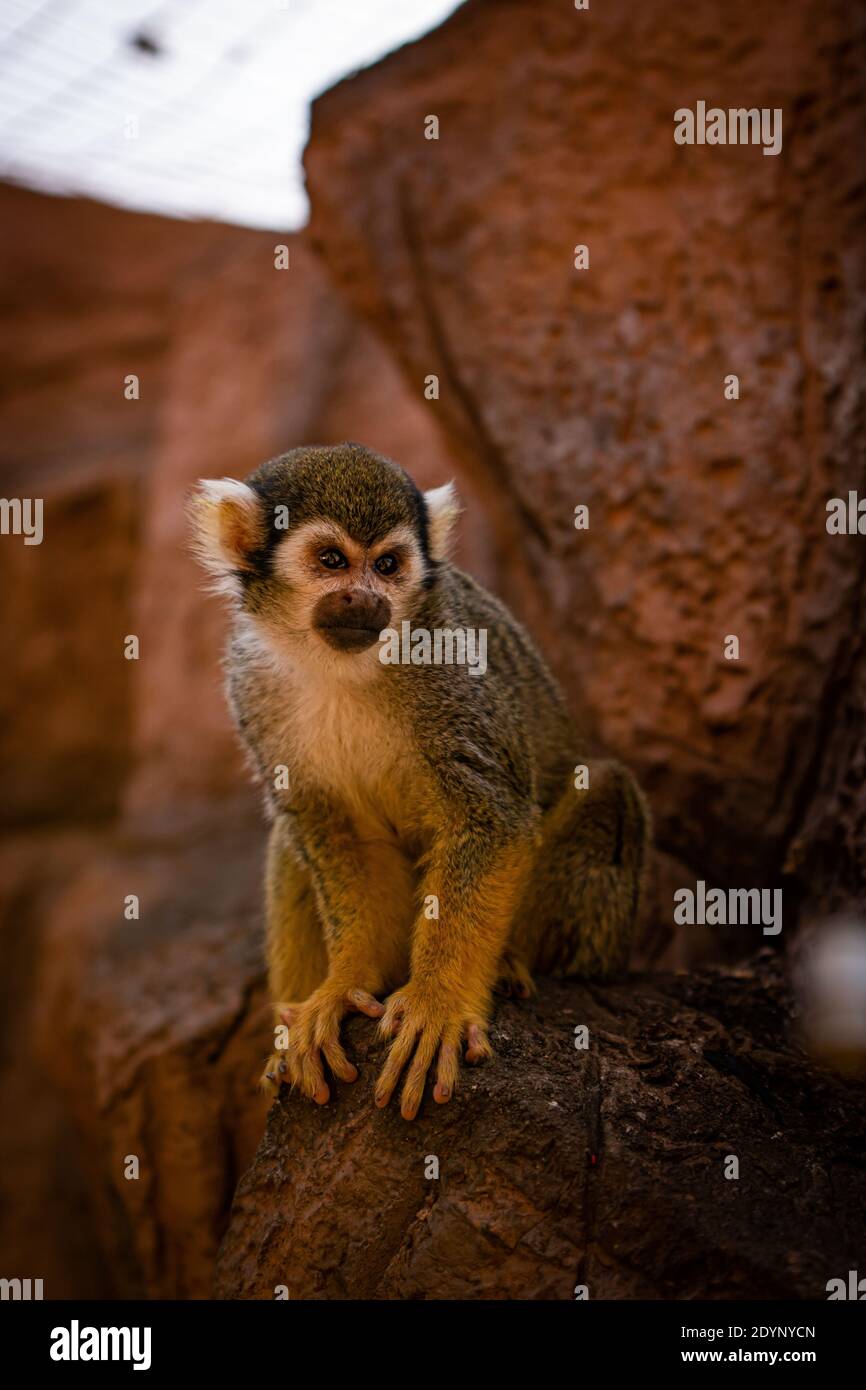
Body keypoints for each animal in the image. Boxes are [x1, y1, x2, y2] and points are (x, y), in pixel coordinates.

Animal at [188, 442, 649, 1121]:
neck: (340, 663)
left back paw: (510, 964)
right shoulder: (249, 684)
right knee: (291, 840)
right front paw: (342, 986)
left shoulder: (448, 664)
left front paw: (437, 1002)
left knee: (610, 787)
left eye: (387, 565)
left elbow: (492, 822)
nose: (363, 599)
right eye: (331, 561)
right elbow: (339, 836)